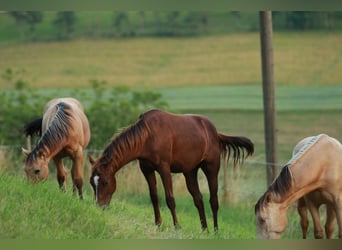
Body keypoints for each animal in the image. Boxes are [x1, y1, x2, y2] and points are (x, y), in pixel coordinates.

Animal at [89, 108, 254, 231]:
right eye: (92, 183)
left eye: (104, 182)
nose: (99, 206)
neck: (148, 135)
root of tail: (216, 133)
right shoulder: (147, 170)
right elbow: (154, 197)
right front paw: (158, 224)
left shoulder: (164, 168)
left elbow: (170, 199)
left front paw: (176, 226)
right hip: (190, 172)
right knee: (198, 199)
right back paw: (204, 229)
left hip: (211, 169)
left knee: (213, 200)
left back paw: (215, 230)